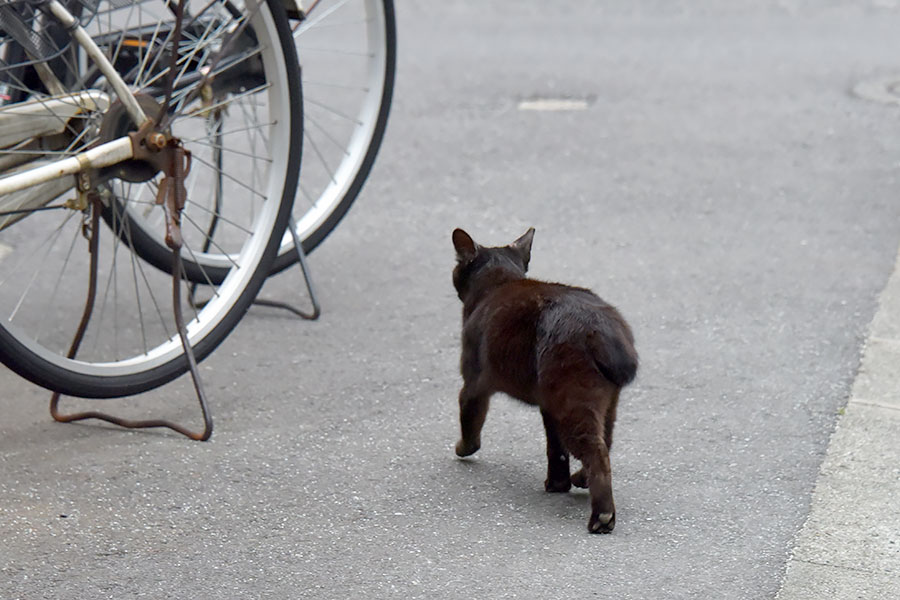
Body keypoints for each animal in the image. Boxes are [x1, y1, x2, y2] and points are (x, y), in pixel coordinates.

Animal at [454, 227, 636, 532]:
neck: (498, 283)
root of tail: (602, 330)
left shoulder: (473, 383)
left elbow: (470, 420)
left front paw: (463, 449)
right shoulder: (548, 408)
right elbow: (555, 448)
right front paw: (557, 484)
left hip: (574, 402)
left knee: (597, 452)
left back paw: (601, 517)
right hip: (602, 402)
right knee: (605, 441)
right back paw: (579, 480)